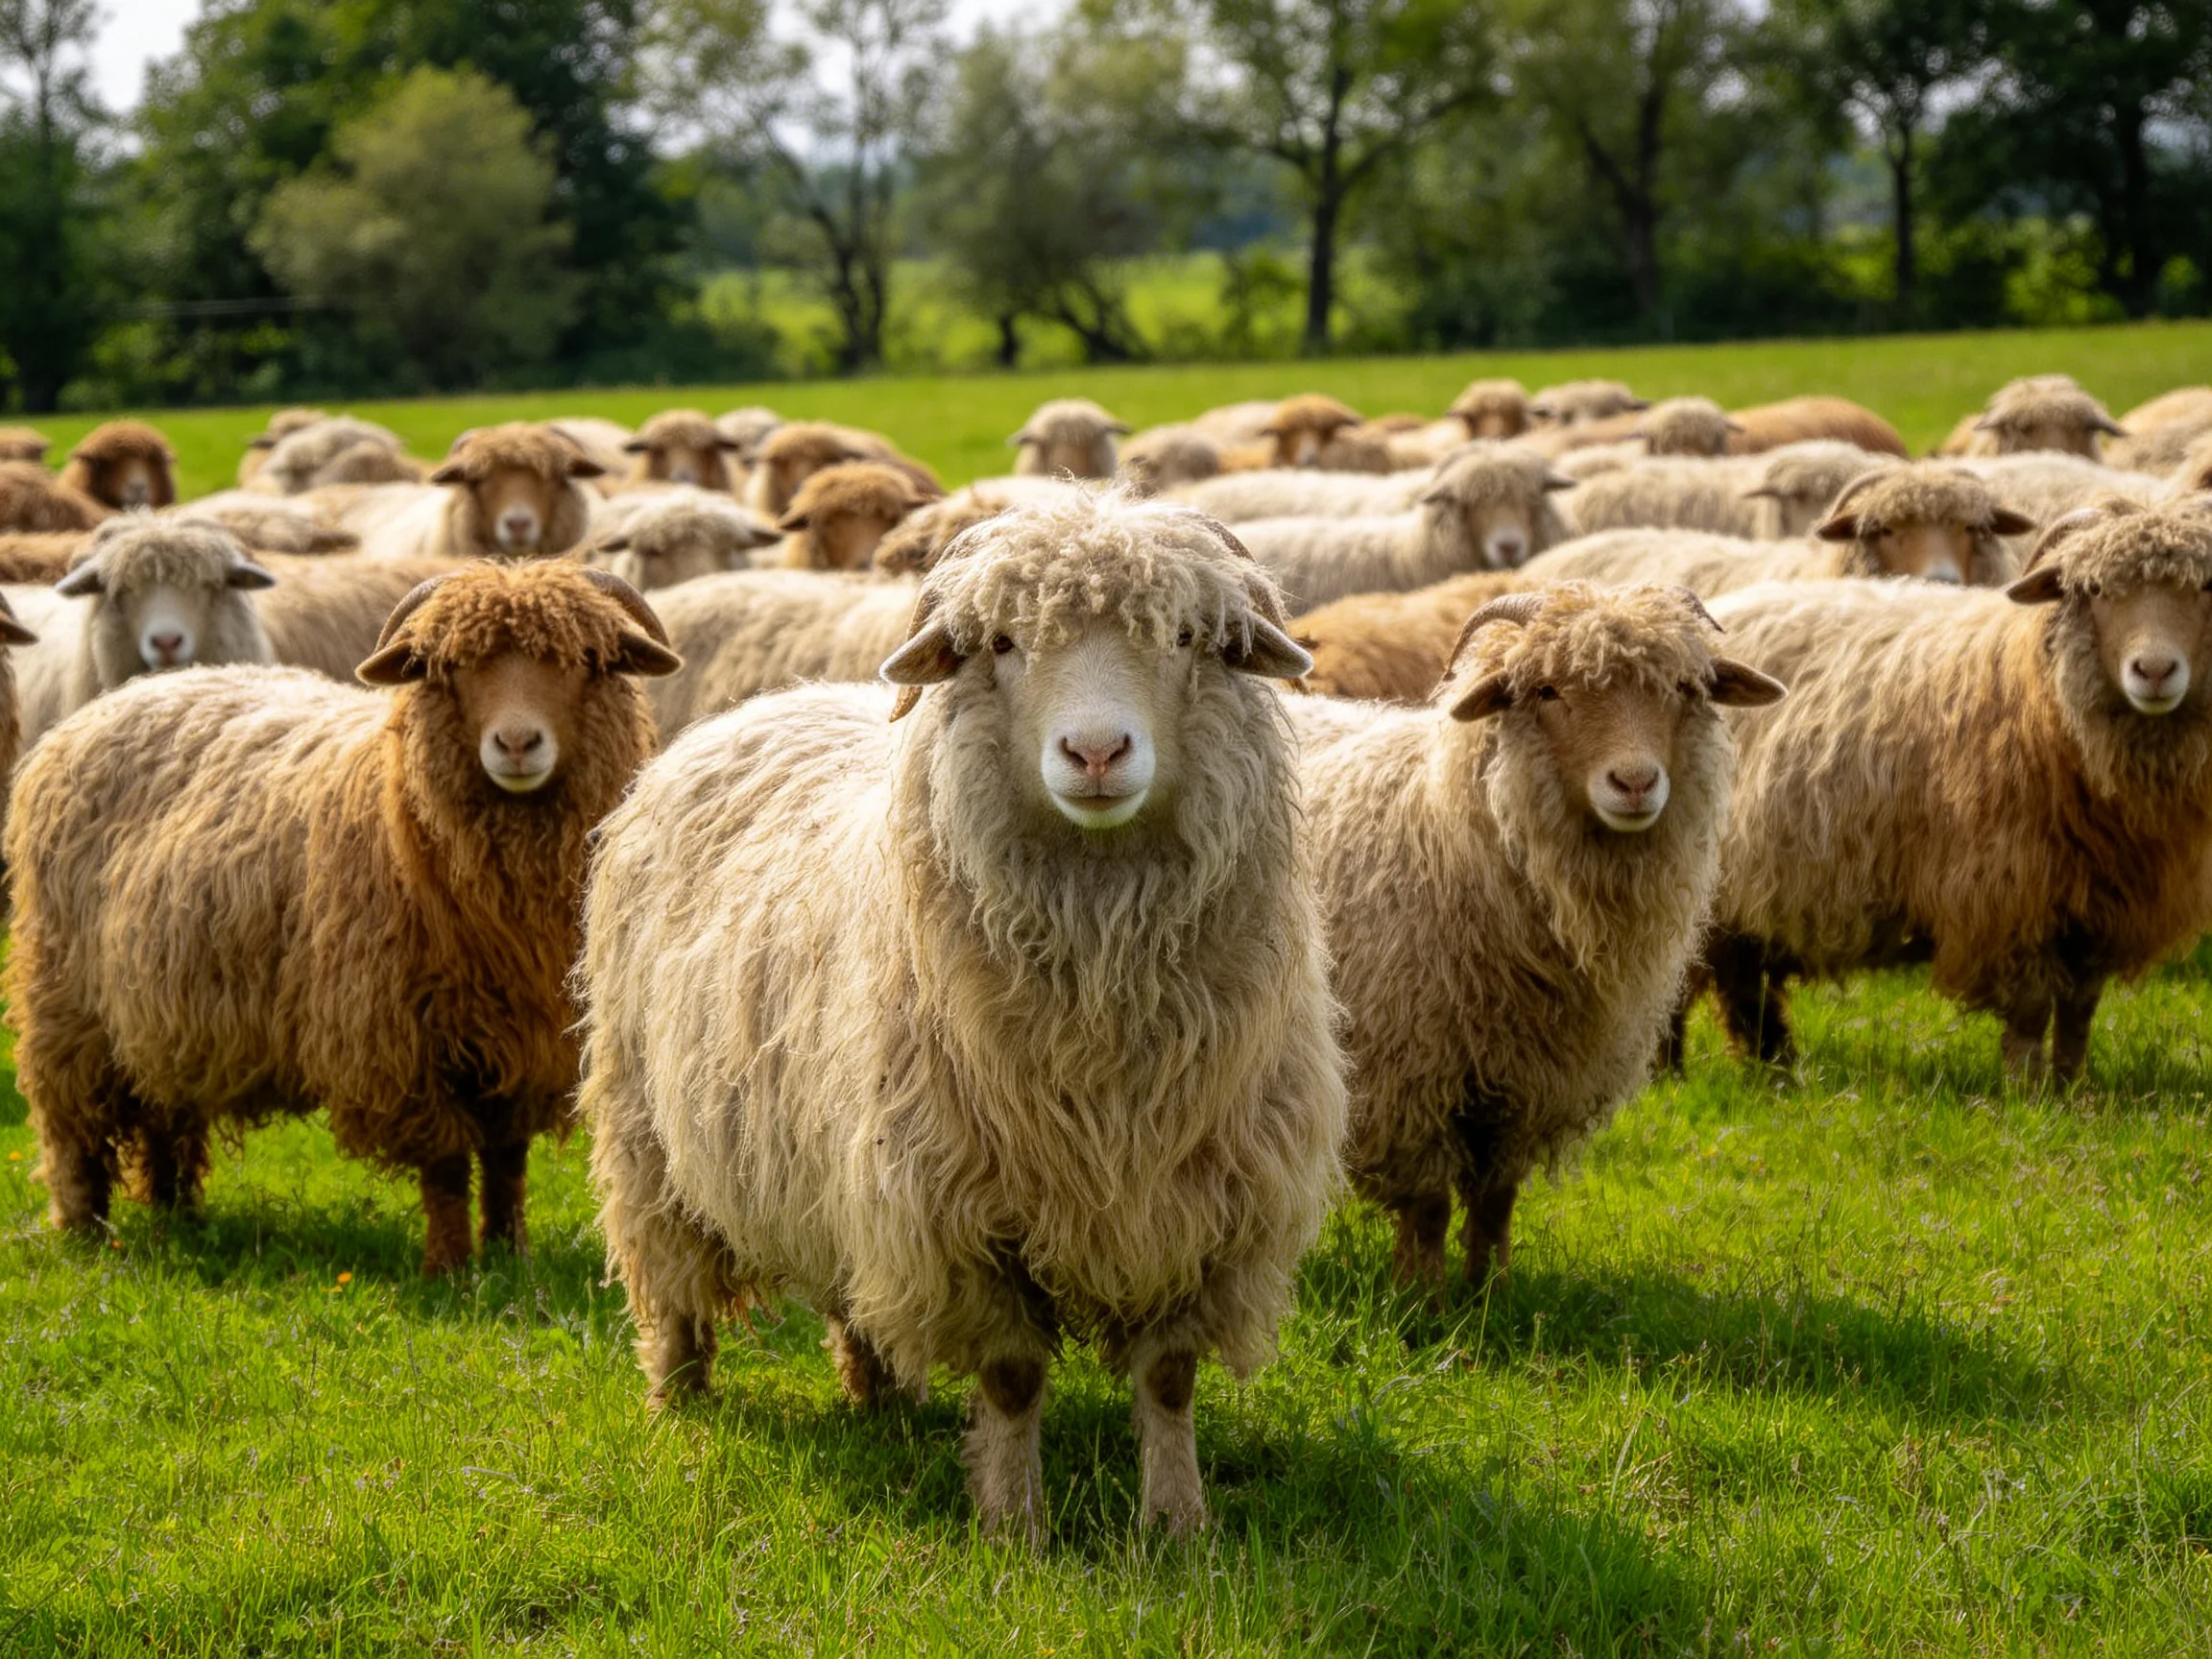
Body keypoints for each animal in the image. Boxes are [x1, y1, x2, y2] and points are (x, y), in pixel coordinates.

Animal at [7, 562, 680, 1270]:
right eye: (447, 666)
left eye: (588, 661)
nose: (517, 743)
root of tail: (113, 703)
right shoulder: (397, 1039)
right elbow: (445, 1163)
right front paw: (450, 1268)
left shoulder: (521, 1039)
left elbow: (506, 1159)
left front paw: (508, 1254)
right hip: (67, 1004)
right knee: (69, 1124)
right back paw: (83, 1230)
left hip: (159, 1012)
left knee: (164, 1111)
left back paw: (176, 1213)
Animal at [1288, 584, 1781, 1290]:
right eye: (1546, 690)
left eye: (1685, 688)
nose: (1635, 783)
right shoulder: (1407, 1079)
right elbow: (1430, 1205)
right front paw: (1420, 1298)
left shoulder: (1532, 1081)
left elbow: (1496, 1200)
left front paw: (1487, 1291)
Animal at [1695, 500, 2212, 1083]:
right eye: (2095, 589)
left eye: (2206, 586)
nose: (2154, 671)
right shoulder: (2008, 896)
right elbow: (2032, 1009)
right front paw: (2027, 1091)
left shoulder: (2098, 911)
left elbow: (2078, 1013)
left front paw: (2072, 1086)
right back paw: (1679, 1076)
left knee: (1744, 986)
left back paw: (1775, 1070)